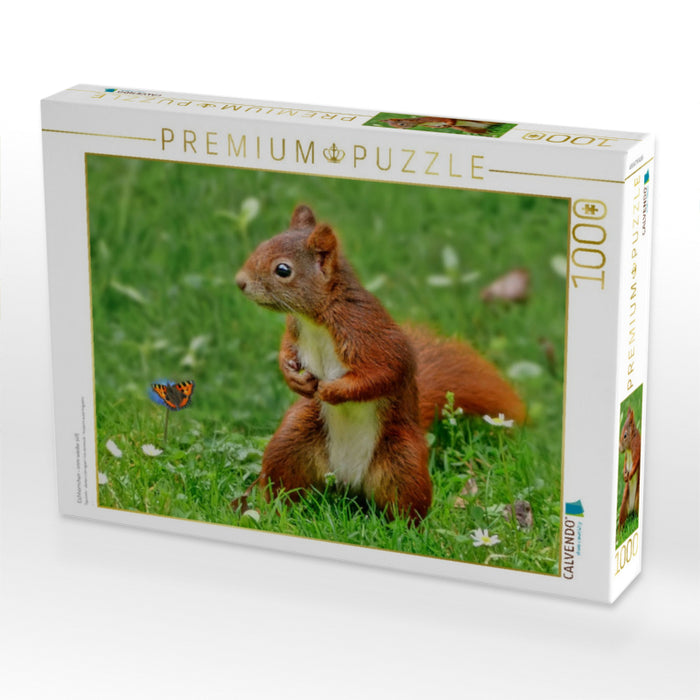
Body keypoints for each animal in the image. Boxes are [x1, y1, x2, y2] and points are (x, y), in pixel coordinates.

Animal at [233, 204, 526, 522]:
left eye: (283, 270)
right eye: (263, 244)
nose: (240, 281)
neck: (316, 319)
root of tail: (346, 480)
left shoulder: (366, 332)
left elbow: (385, 371)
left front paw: (333, 391)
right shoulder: (295, 328)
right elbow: (287, 348)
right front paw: (292, 374)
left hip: (403, 461)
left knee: (406, 505)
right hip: (292, 443)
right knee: (285, 482)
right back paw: (276, 511)